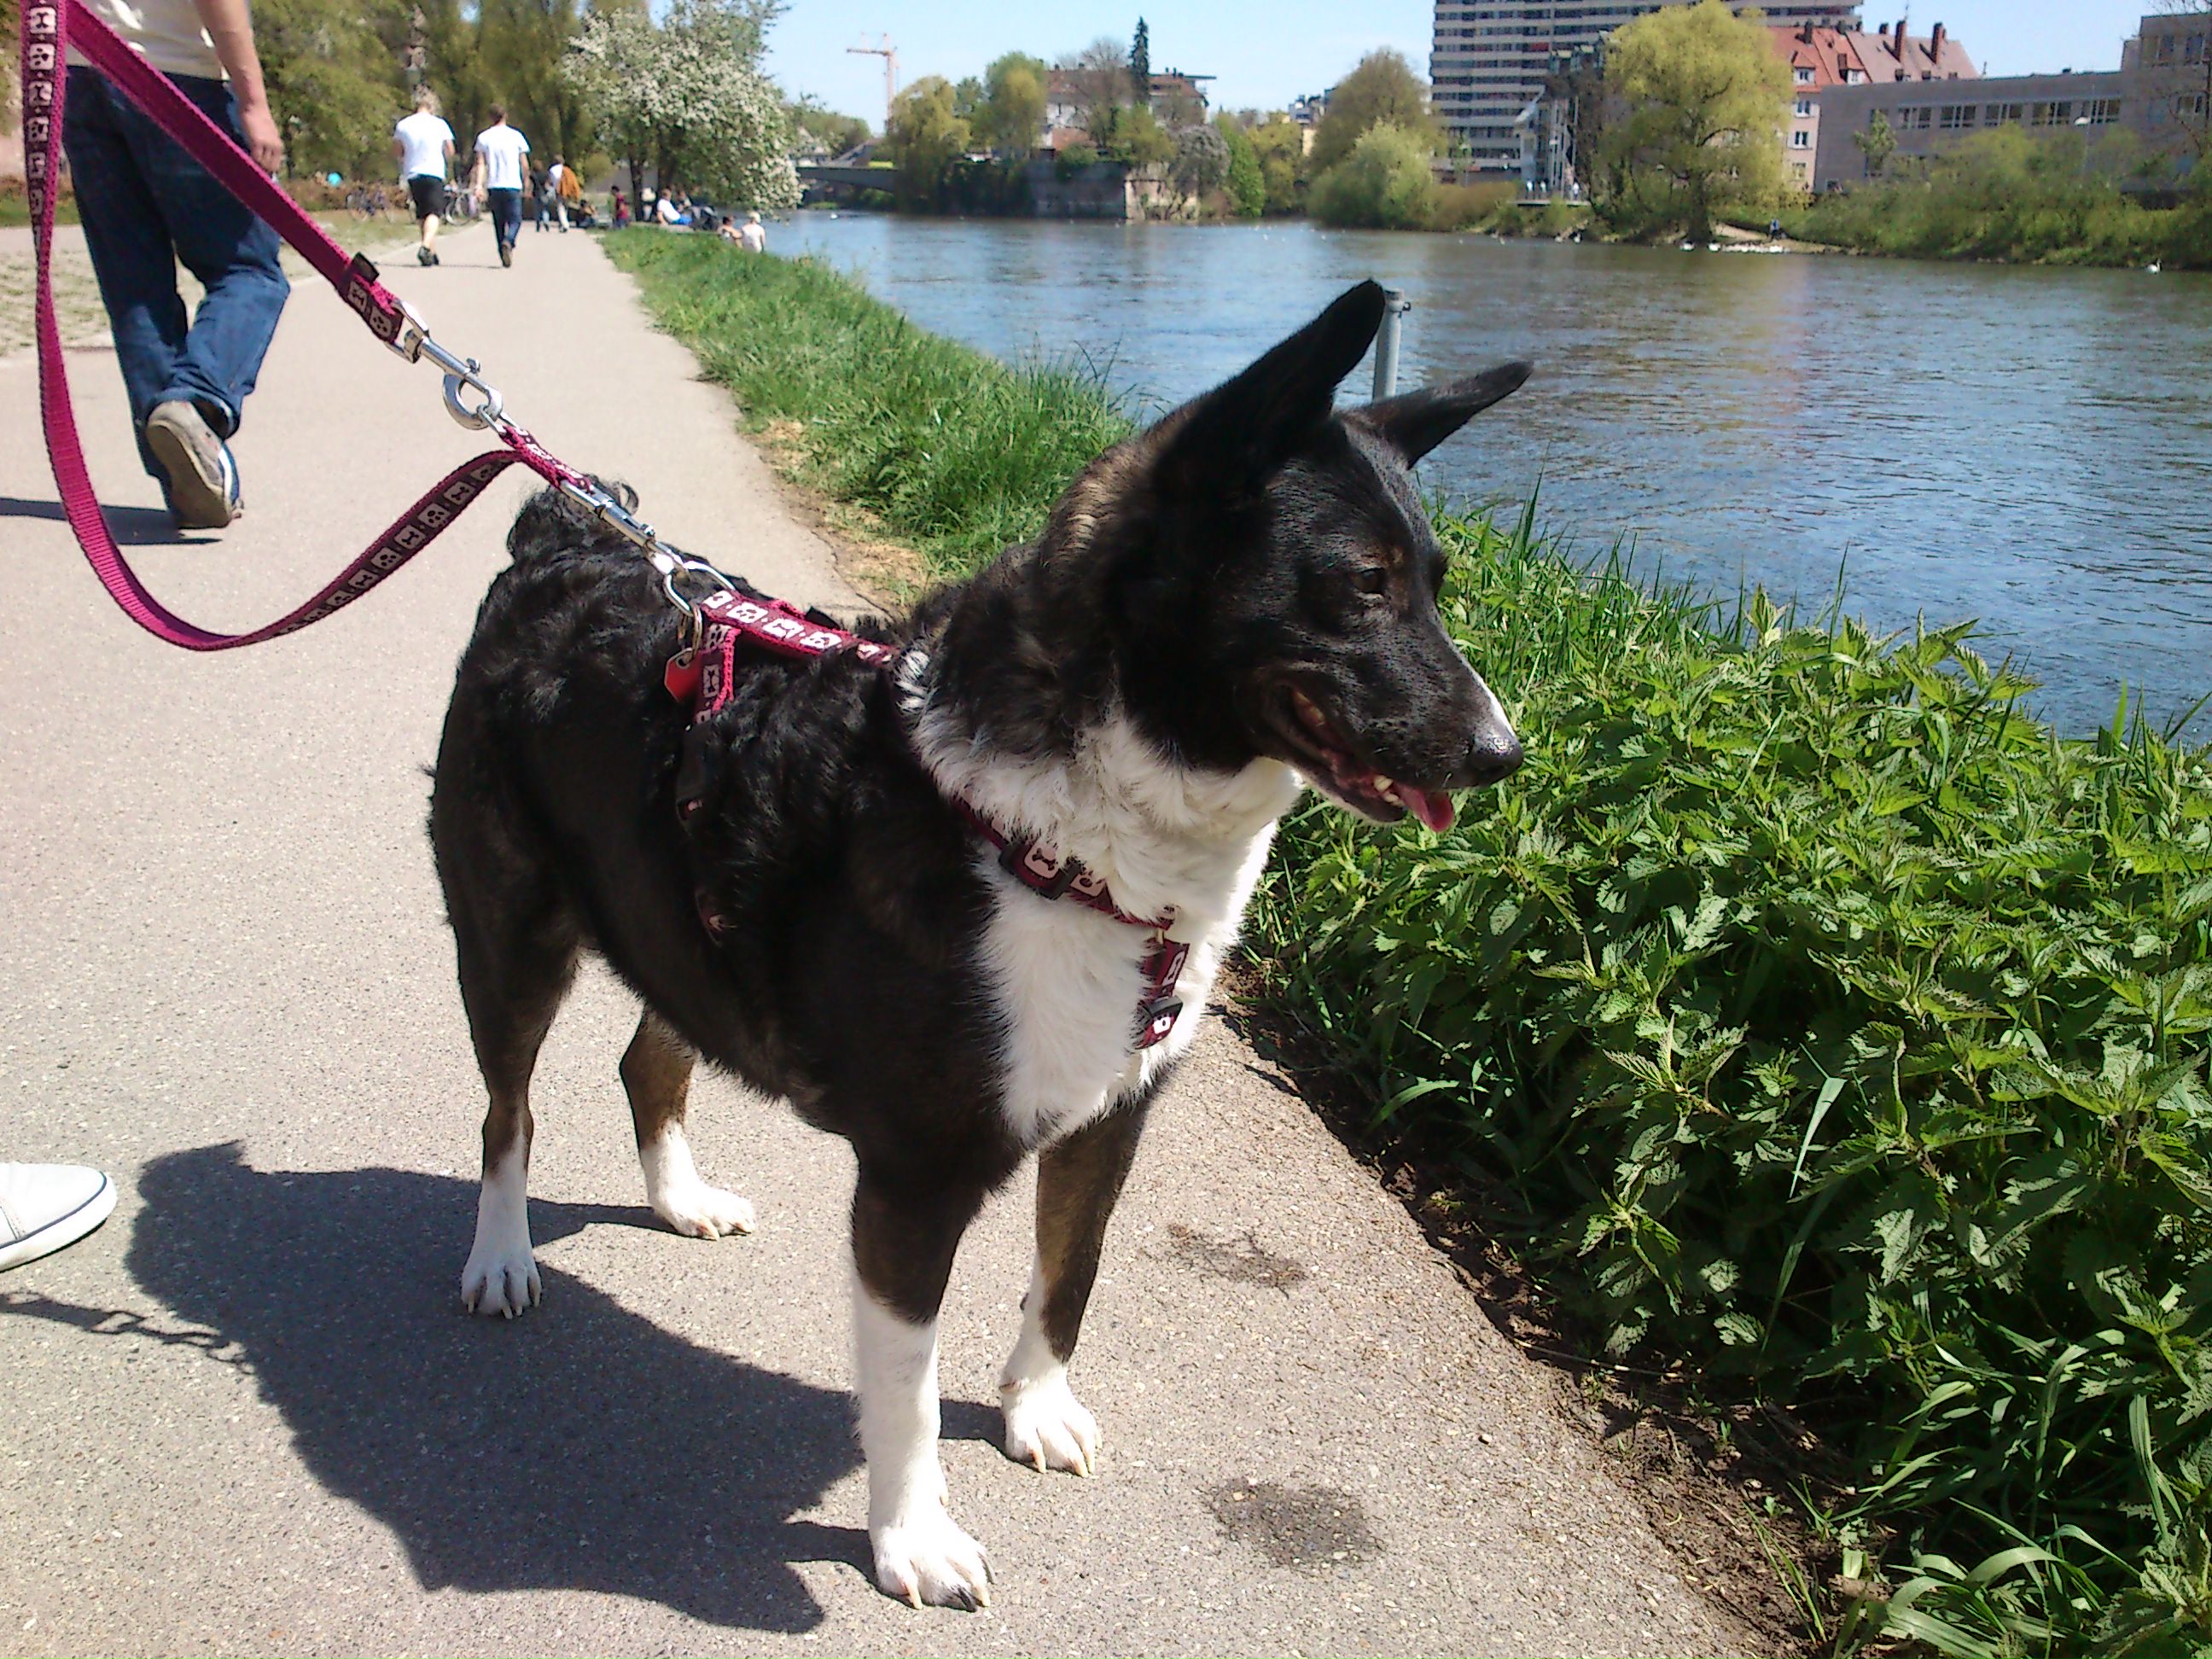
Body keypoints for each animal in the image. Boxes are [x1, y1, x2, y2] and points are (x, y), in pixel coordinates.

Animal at [434, 282, 1540, 1610]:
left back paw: (680, 1198)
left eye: (1435, 583)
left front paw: (1035, 1409)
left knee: (649, 1060)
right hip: (511, 935)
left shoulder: (1115, 1117)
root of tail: (567, 541)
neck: (1071, 835)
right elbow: (905, 1391)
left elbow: (1072, 1272)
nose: (1503, 753)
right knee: (505, 1112)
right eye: (1362, 586)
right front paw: (913, 1534)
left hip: (675, 925)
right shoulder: (916, 1177)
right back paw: (500, 1257)